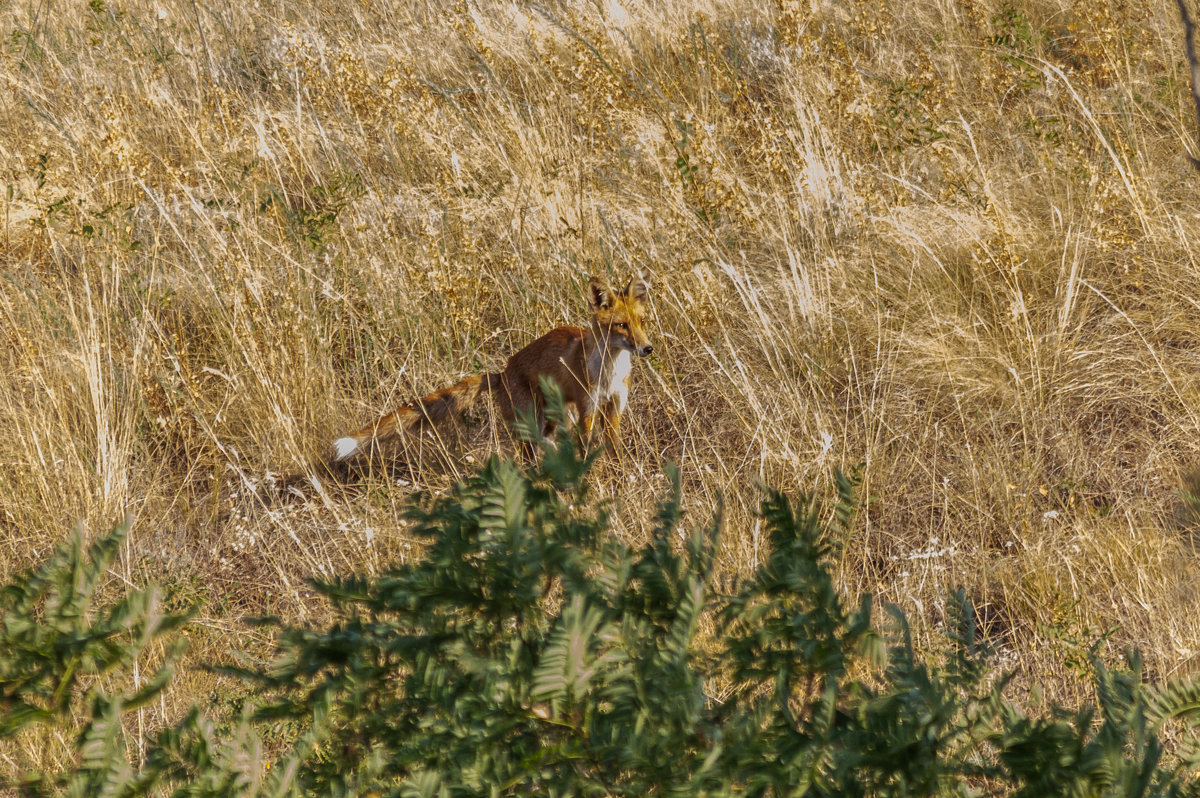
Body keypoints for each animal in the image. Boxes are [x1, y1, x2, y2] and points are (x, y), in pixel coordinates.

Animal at [331, 277, 657, 460]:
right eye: (621, 326)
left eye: (642, 322)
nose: (647, 348)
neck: (610, 370)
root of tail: (501, 373)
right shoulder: (588, 408)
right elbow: (589, 449)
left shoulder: (614, 406)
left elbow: (613, 447)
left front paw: (617, 473)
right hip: (533, 423)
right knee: (529, 457)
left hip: (554, 419)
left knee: (547, 446)